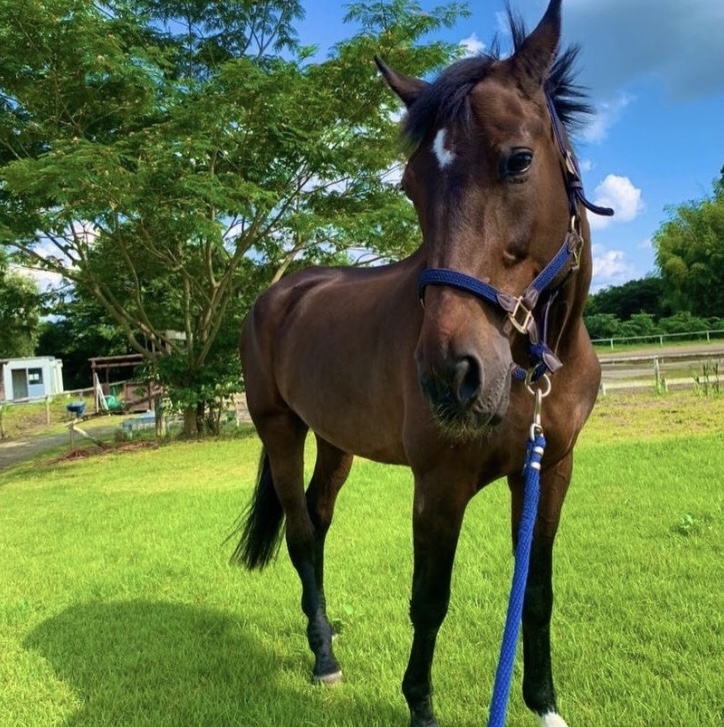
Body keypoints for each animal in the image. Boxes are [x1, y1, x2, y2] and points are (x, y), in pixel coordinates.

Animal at [232, 1, 612, 725]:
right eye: (412, 186)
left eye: (519, 160)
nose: (450, 374)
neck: (536, 366)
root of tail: (281, 293)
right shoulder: (439, 483)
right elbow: (430, 601)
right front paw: (420, 704)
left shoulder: (551, 468)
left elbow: (536, 590)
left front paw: (544, 703)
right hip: (280, 430)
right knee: (301, 533)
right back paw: (323, 657)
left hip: (336, 441)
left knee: (318, 523)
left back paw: (324, 631)